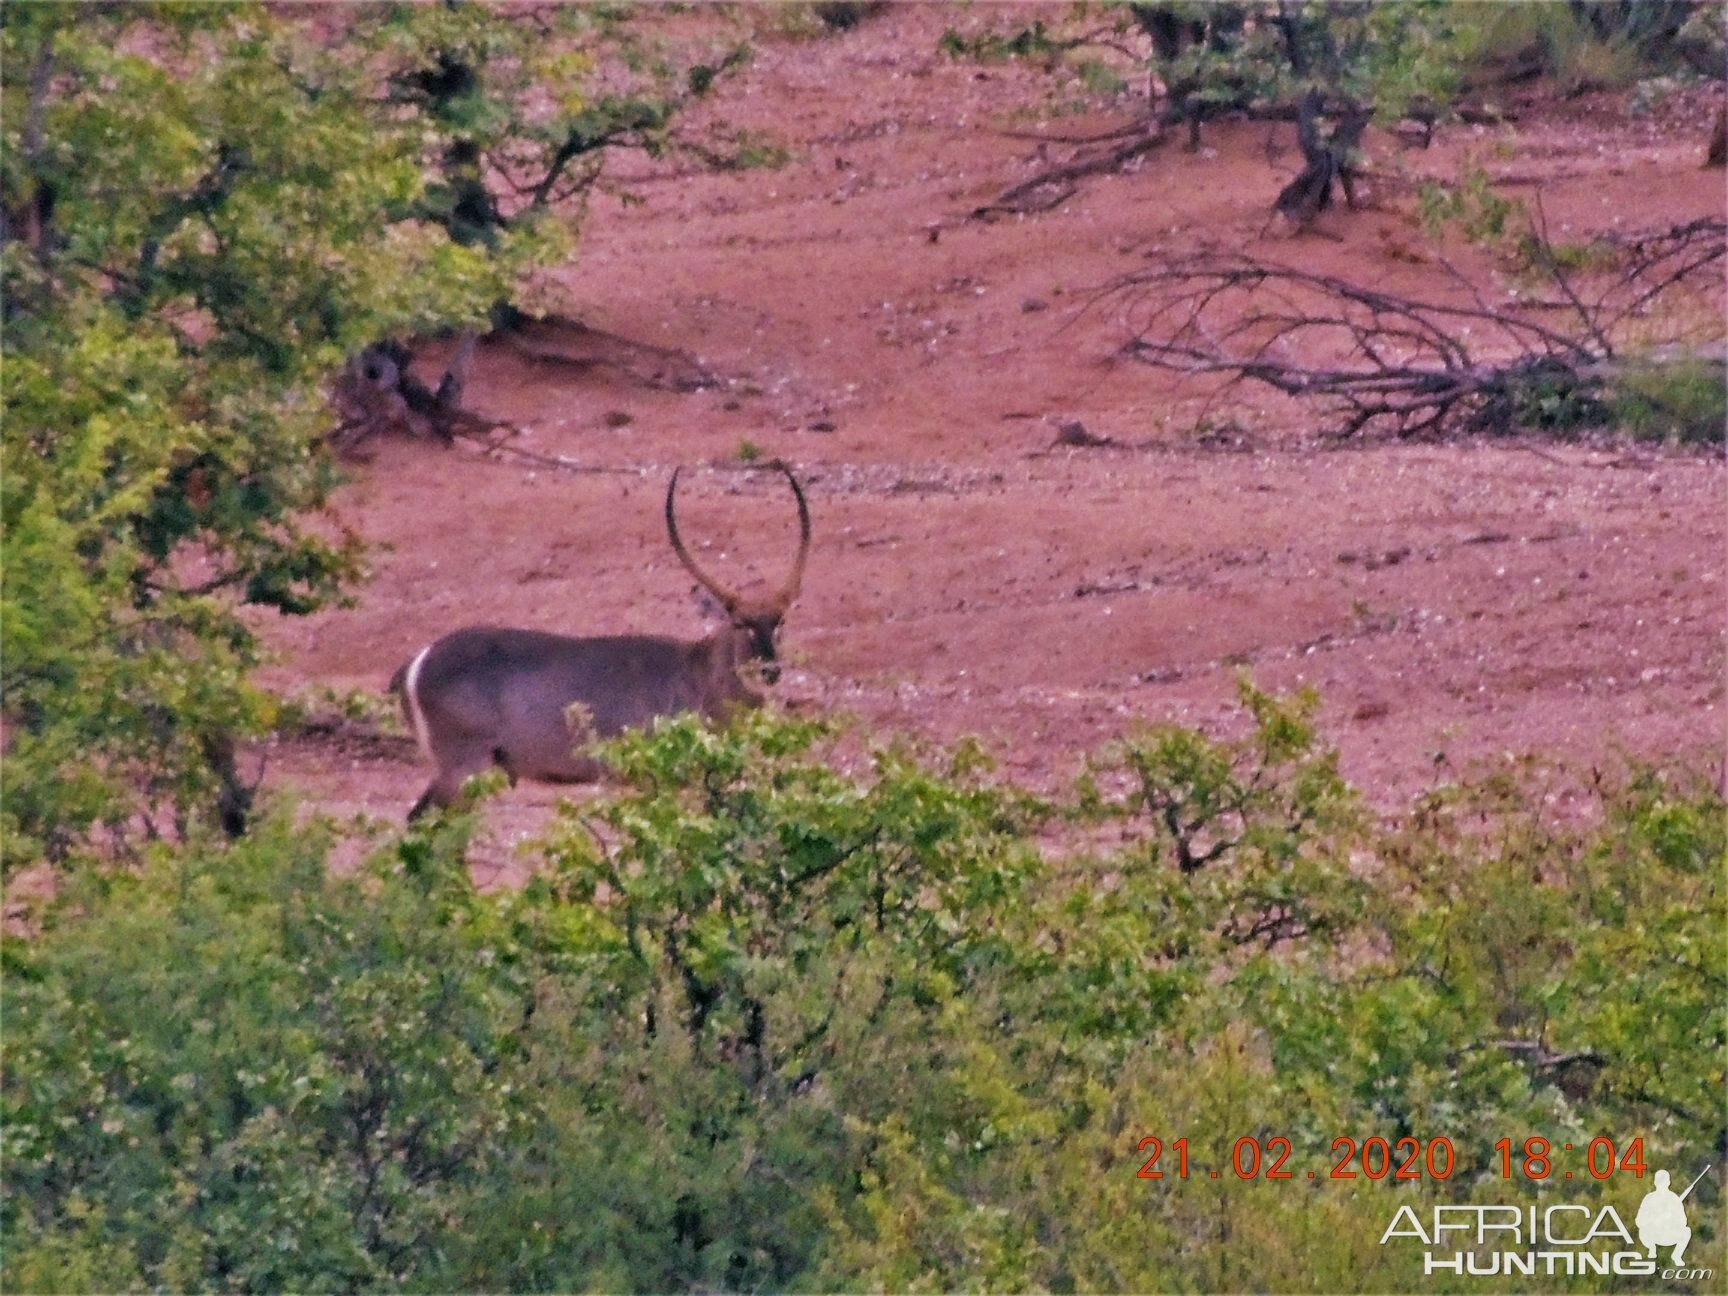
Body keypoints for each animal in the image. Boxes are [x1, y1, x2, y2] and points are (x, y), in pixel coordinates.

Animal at [395, 463, 812, 815]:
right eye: (740, 623)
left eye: (780, 621)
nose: (770, 670)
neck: (699, 674)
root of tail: (416, 661)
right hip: (463, 765)